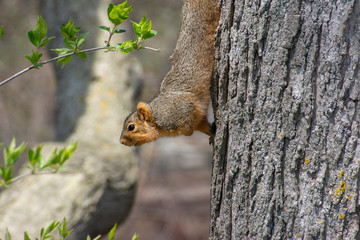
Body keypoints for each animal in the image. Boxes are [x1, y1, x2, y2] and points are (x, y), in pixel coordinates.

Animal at [119, 0, 219, 146]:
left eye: (131, 127)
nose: (121, 142)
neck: (157, 117)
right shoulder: (199, 120)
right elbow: (204, 126)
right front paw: (212, 134)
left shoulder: (181, 109)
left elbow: (188, 126)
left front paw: (188, 132)